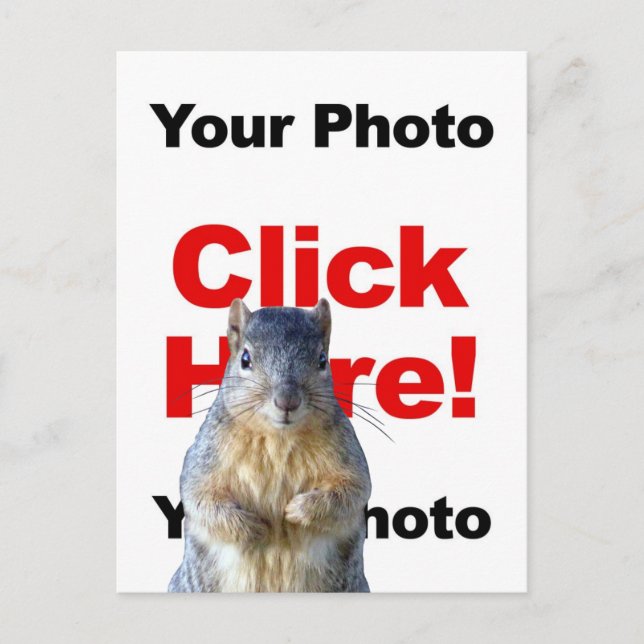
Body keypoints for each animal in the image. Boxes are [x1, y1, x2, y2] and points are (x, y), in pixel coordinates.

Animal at [169, 298, 372, 592]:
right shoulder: (205, 460)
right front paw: (253, 527)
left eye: (322, 360)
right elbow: (200, 498)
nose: (287, 400)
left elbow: (352, 492)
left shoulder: (349, 457)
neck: (278, 438)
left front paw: (296, 510)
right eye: (245, 359)